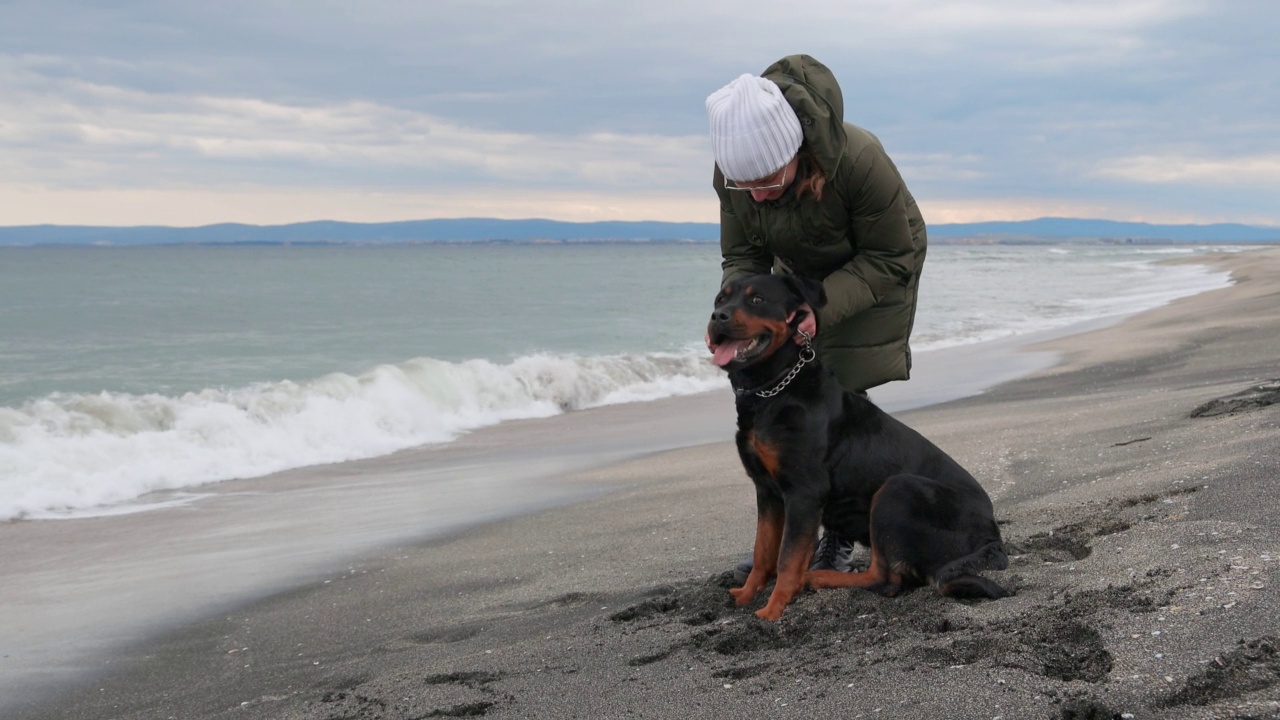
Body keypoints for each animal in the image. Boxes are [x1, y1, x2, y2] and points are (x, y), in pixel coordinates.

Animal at [706, 271, 1003, 620]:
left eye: (757, 300)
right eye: (720, 299)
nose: (717, 317)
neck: (774, 389)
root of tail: (991, 536)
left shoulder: (804, 491)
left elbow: (787, 558)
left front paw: (772, 610)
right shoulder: (768, 491)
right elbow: (764, 551)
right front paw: (746, 595)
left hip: (896, 489)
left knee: (885, 578)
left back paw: (819, 577)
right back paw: (817, 578)